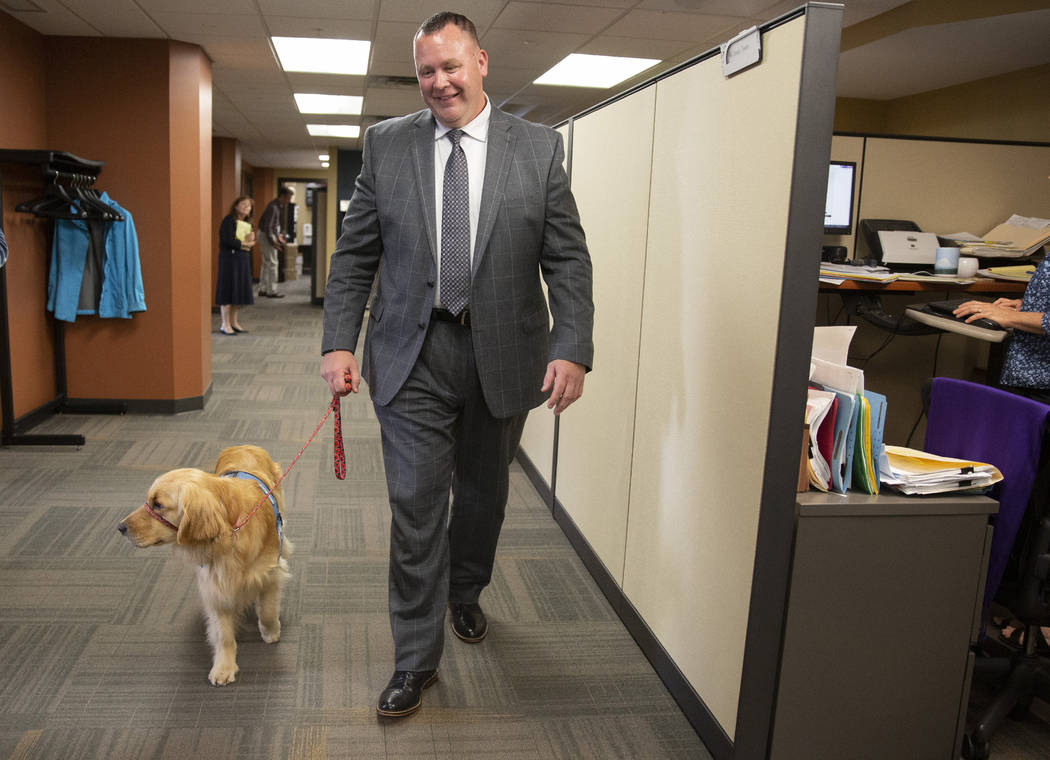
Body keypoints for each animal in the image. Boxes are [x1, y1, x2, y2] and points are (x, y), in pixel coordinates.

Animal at [117, 442, 294, 684]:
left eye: (158, 504)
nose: (120, 527)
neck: (230, 532)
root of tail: (244, 445)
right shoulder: (214, 586)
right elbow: (223, 633)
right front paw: (223, 666)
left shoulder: (269, 574)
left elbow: (267, 609)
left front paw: (270, 631)